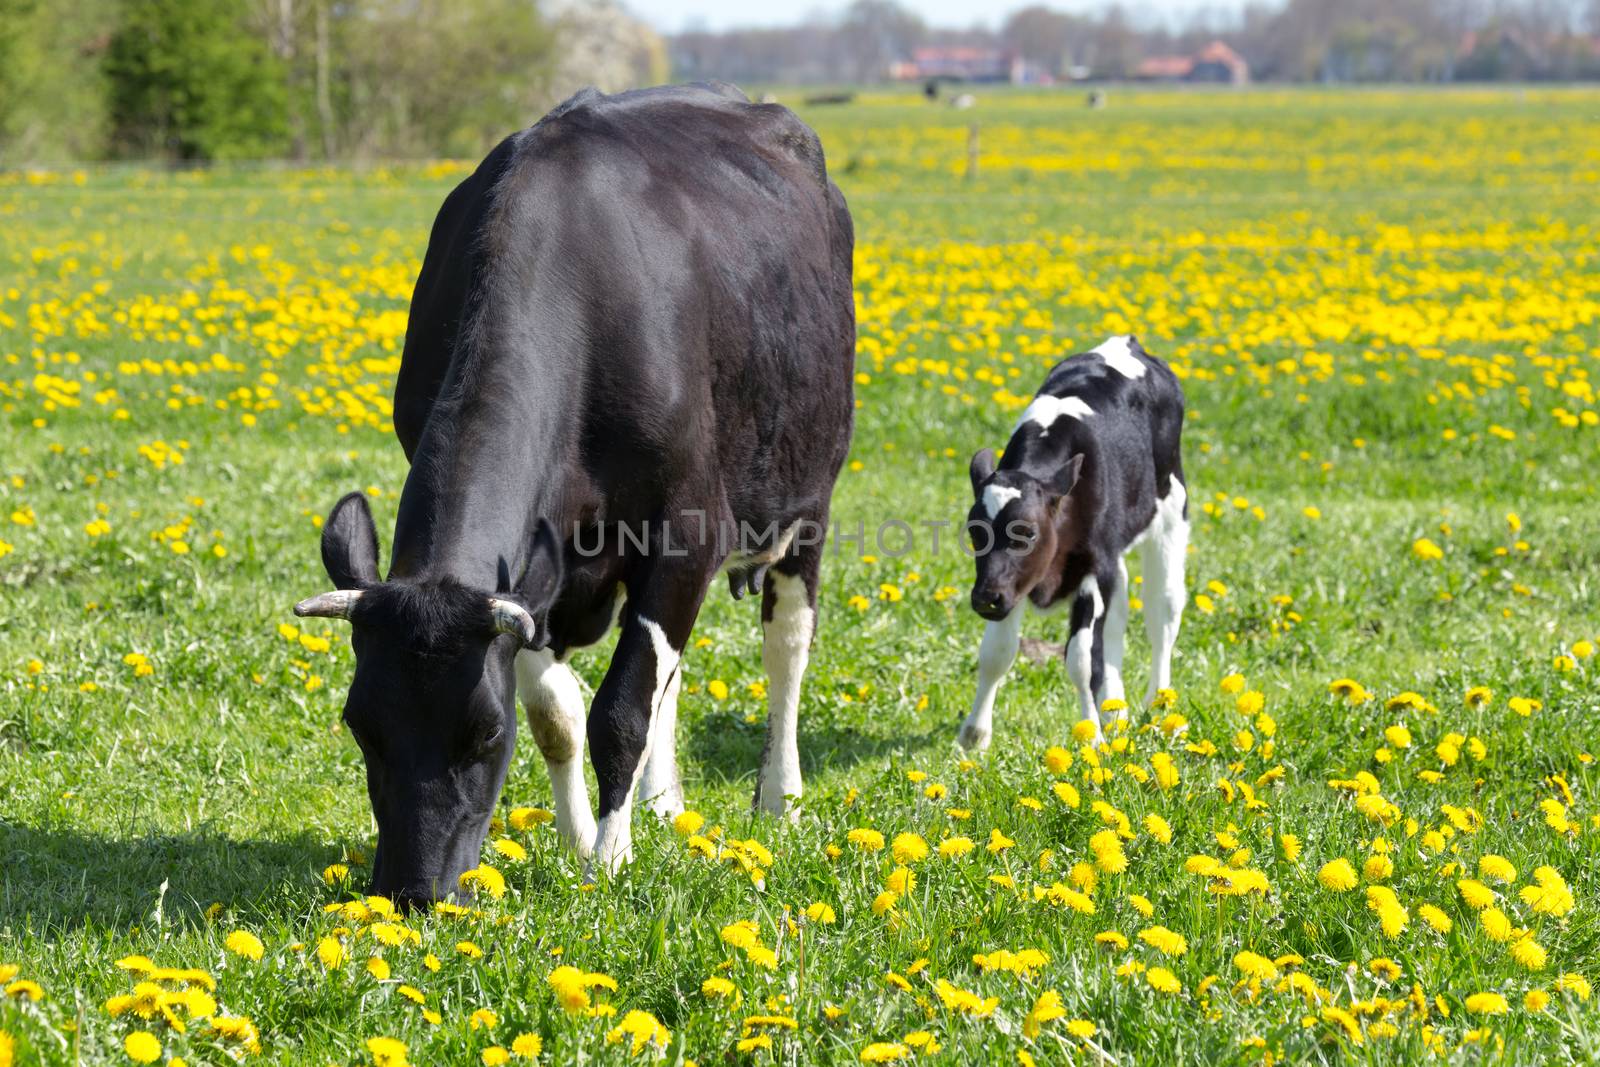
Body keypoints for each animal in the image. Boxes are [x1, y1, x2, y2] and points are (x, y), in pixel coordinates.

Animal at [292, 83, 857, 902]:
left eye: (484, 733)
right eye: (360, 725)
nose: (412, 891)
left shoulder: (688, 531)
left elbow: (619, 710)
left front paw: (608, 861)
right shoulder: (540, 571)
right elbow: (560, 711)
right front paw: (581, 835)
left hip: (806, 502)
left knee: (786, 647)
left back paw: (779, 796)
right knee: (671, 677)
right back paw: (662, 802)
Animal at [953, 335, 1184, 751]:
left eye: (1027, 532)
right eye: (975, 532)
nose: (983, 599)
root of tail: (1126, 341)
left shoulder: (1092, 571)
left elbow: (1080, 659)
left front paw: (1091, 735)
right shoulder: (1011, 583)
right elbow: (996, 653)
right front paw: (975, 734)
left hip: (1171, 511)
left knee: (1162, 615)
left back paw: (1158, 708)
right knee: (1118, 619)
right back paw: (1116, 709)